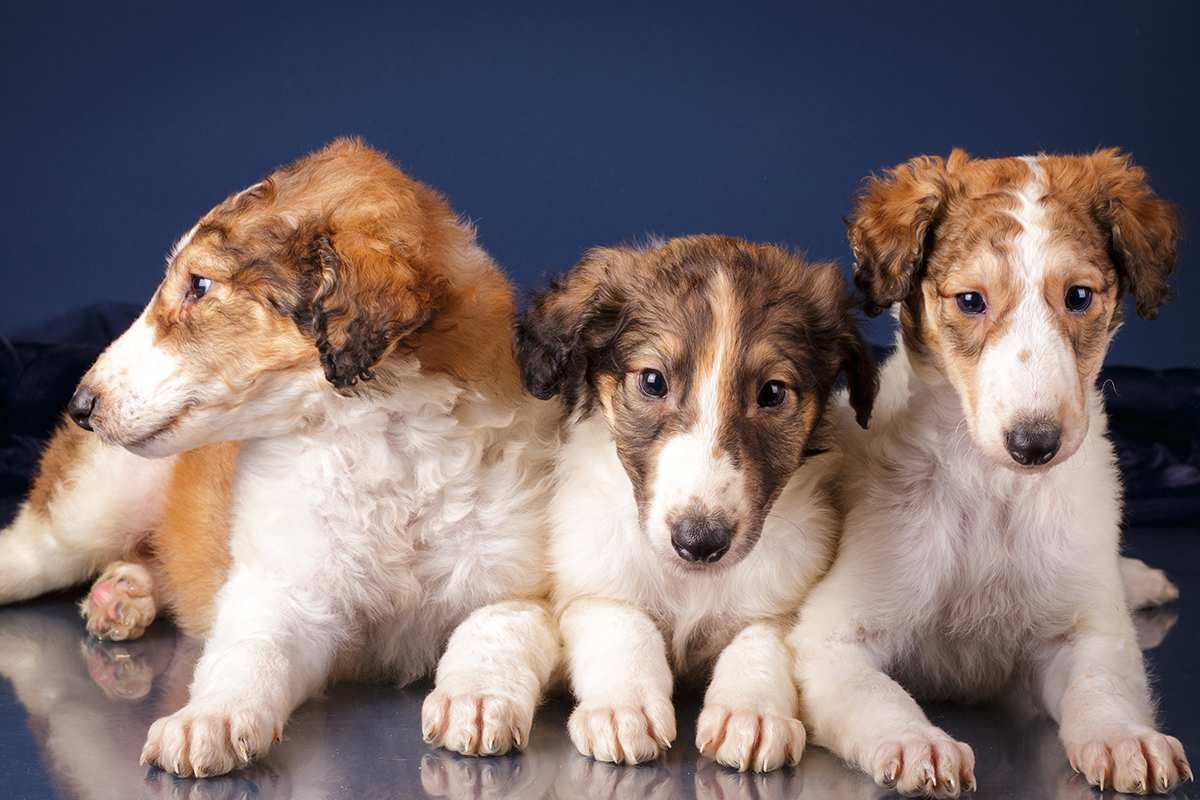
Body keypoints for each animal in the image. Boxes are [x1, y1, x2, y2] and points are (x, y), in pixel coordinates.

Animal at [0, 140, 559, 777]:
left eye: (199, 285)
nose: (80, 404)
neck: (387, 441)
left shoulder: (519, 587)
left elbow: (494, 630)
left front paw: (477, 700)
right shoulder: (282, 587)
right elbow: (250, 652)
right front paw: (208, 721)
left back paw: (124, 594)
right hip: (93, 504)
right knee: (30, 550)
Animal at [511, 235, 878, 772]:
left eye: (772, 392)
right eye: (652, 381)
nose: (699, 542)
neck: (690, 584)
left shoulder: (785, 600)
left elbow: (758, 640)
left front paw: (752, 713)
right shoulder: (591, 585)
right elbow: (624, 625)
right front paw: (624, 707)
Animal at [787, 148, 1190, 796]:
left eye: (1079, 296)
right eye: (971, 301)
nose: (1035, 445)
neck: (991, 489)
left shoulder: (1086, 632)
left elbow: (1101, 688)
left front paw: (1124, 738)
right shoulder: (829, 638)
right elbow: (878, 695)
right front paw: (917, 742)